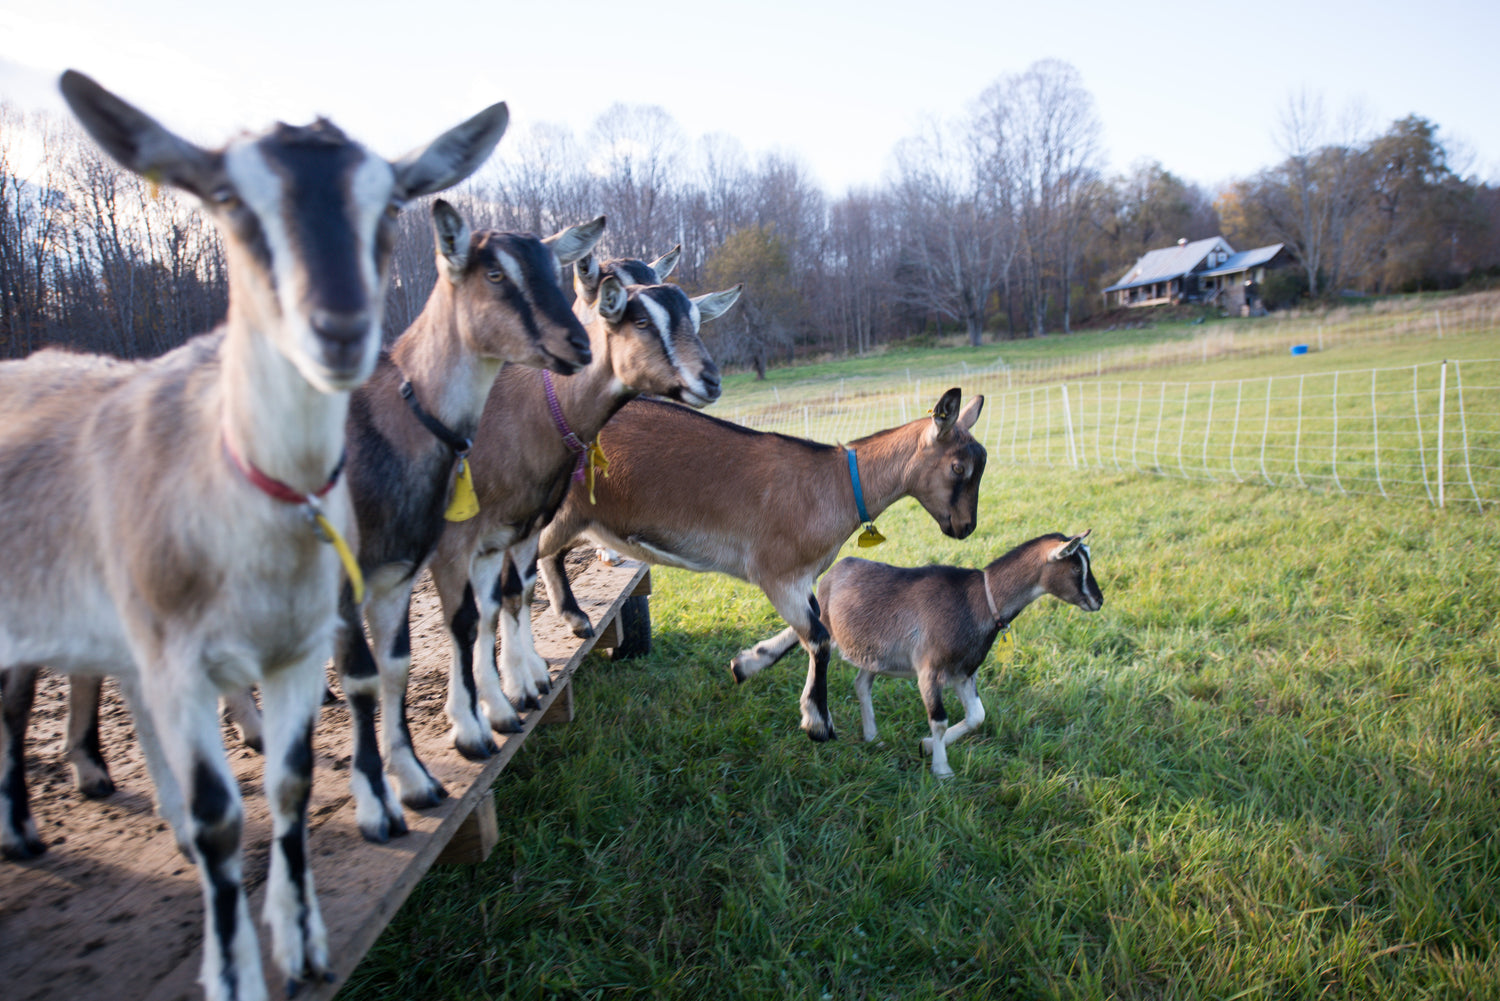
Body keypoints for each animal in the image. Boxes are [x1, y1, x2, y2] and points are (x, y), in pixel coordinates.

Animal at [0, 71, 507, 1001]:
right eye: (228, 198)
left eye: (390, 202)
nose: (338, 327)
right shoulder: (207, 642)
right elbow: (227, 811)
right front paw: (236, 968)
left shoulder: (310, 634)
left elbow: (298, 773)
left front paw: (302, 937)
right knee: (22, 699)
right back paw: (24, 824)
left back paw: (106, 776)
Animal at [534, 387, 987, 743]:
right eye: (958, 467)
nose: (965, 527)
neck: (836, 485)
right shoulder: (776, 573)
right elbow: (819, 638)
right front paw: (817, 721)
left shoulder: (800, 579)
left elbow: (813, 625)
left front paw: (746, 663)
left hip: (575, 517)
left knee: (549, 556)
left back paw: (576, 620)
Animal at [817, 531, 1103, 777]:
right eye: (1076, 568)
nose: (1098, 601)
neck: (977, 602)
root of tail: (836, 569)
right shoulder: (929, 671)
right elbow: (939, 721)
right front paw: (941, 769)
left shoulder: (964, 672)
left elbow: (977, 716)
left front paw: (926, 745)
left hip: (873, 654)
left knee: (861, 684)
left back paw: (872, 737)